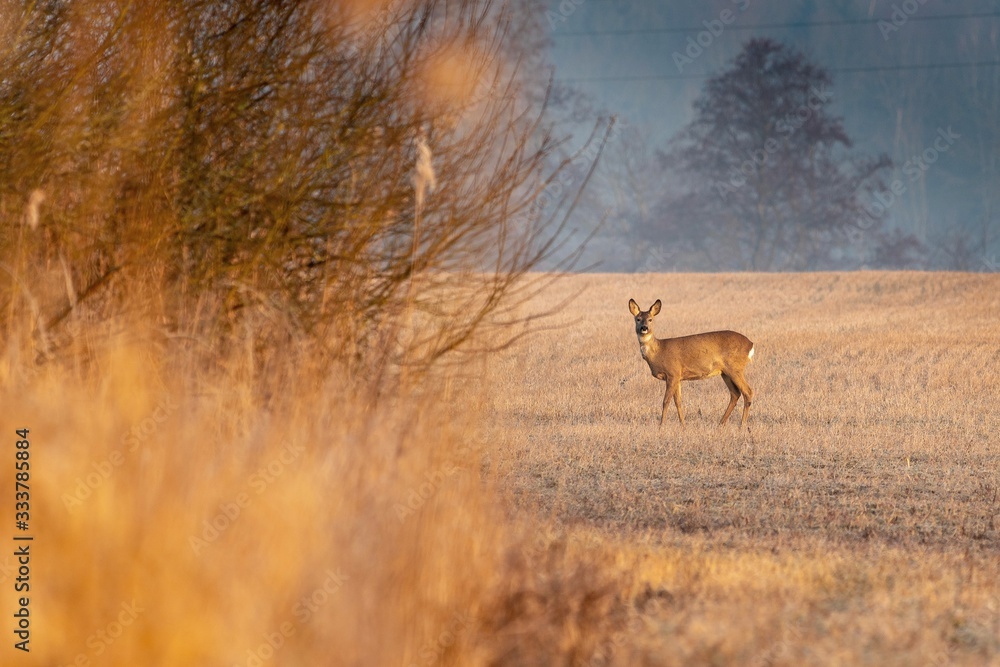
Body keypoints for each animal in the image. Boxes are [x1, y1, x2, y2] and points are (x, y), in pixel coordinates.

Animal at [628, 298, 754, 428]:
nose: (644, 328)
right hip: (725, 372)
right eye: (638, 319)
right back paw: (721, 423)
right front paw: (683, 425)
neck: (658, 351)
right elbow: (678, 402)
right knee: (735, 393)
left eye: (650, 319)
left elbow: (665, 401)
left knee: (748, 391)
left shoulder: (672, 373)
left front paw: (661, 425)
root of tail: (750, 344)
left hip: (735, 368)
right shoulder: (678, 377)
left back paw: (742, 425)